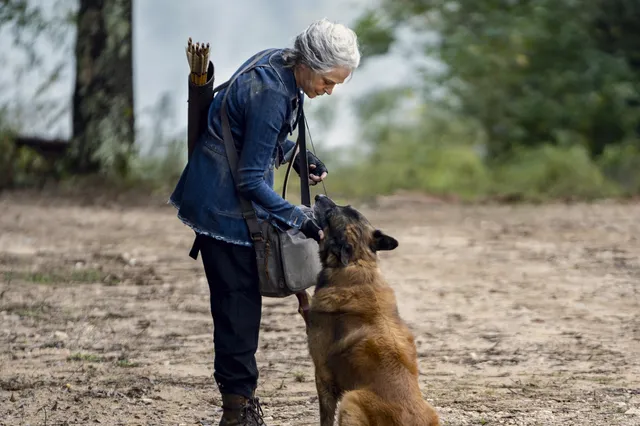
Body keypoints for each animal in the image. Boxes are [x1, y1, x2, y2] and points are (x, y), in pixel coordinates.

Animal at [306, 196, 440, 426]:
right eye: (347, 206)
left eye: (331, 212)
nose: (318, 197)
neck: (357, 261)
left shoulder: (322, 374)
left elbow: (325, 417)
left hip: (351, 398)